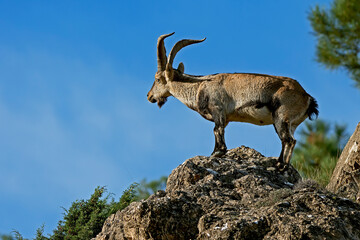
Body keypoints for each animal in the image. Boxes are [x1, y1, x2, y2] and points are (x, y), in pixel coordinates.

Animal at [146, 32, 318, 171]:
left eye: (158, 79)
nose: (149, 96)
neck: (199, 86)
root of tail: (306, 96)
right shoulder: (226, 118)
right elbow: (218, 130)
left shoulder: (218, 110)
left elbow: (217, 130)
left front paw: (217, 153)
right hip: (291, 123)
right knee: (289, 140)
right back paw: (280, 163)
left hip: (281, 117)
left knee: (289, 140)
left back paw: (281, 166)